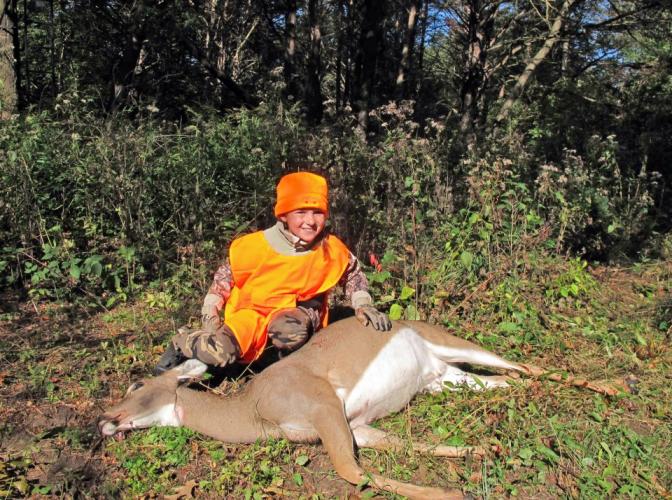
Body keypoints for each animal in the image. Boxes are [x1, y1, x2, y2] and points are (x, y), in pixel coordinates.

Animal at [98, 317, 624, 499]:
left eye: (138, 382)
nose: (105, 420)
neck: (255, 411)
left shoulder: (324, 405)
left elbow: (351, 472)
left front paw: (451, 493)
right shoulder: (358, 424)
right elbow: (389, 452)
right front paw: (479, 454)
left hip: (451, 342)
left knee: (524, 364)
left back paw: (618, 386)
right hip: (445, 381)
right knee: (507, 382)